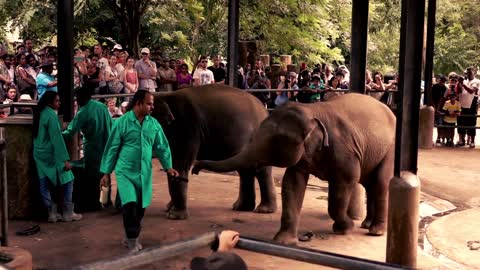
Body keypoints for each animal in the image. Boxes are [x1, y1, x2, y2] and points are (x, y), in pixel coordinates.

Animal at [150, 84, 278, 219]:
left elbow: (180, 163)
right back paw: (241, 207)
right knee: (245, 169)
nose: (196, 171)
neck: (165, 96)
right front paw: (168, 209)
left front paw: (174, 216)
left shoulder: (187, 127)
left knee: (260, 170)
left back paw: (263, 210)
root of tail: (265, 110)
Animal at [192, 94, 398, 246]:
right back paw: (366, 224)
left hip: (391, 149)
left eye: (275, 141)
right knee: (369, 184)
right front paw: (283, 241)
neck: (312, 110)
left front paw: (344, 228)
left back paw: (376, 231)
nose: (195, 168)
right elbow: (291, 183)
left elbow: (344, 184)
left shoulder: (344, 152)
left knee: (380, 183)